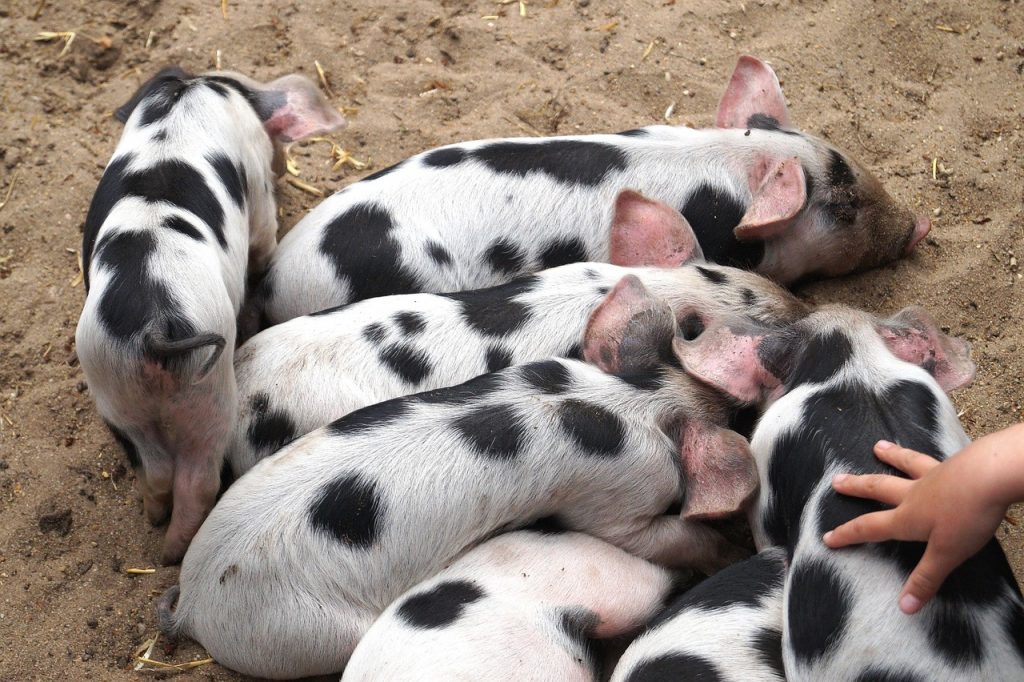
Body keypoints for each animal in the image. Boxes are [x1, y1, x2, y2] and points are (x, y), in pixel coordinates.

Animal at [75, 66, 345, 563]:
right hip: (210, 393)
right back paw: (171, 554)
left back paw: (154, 525)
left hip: (115, 388)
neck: (191, 90)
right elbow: (263, 236)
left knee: (156, 471)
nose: (282, 166)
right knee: (198, 480)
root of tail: (155, 329)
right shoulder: (256, 186)